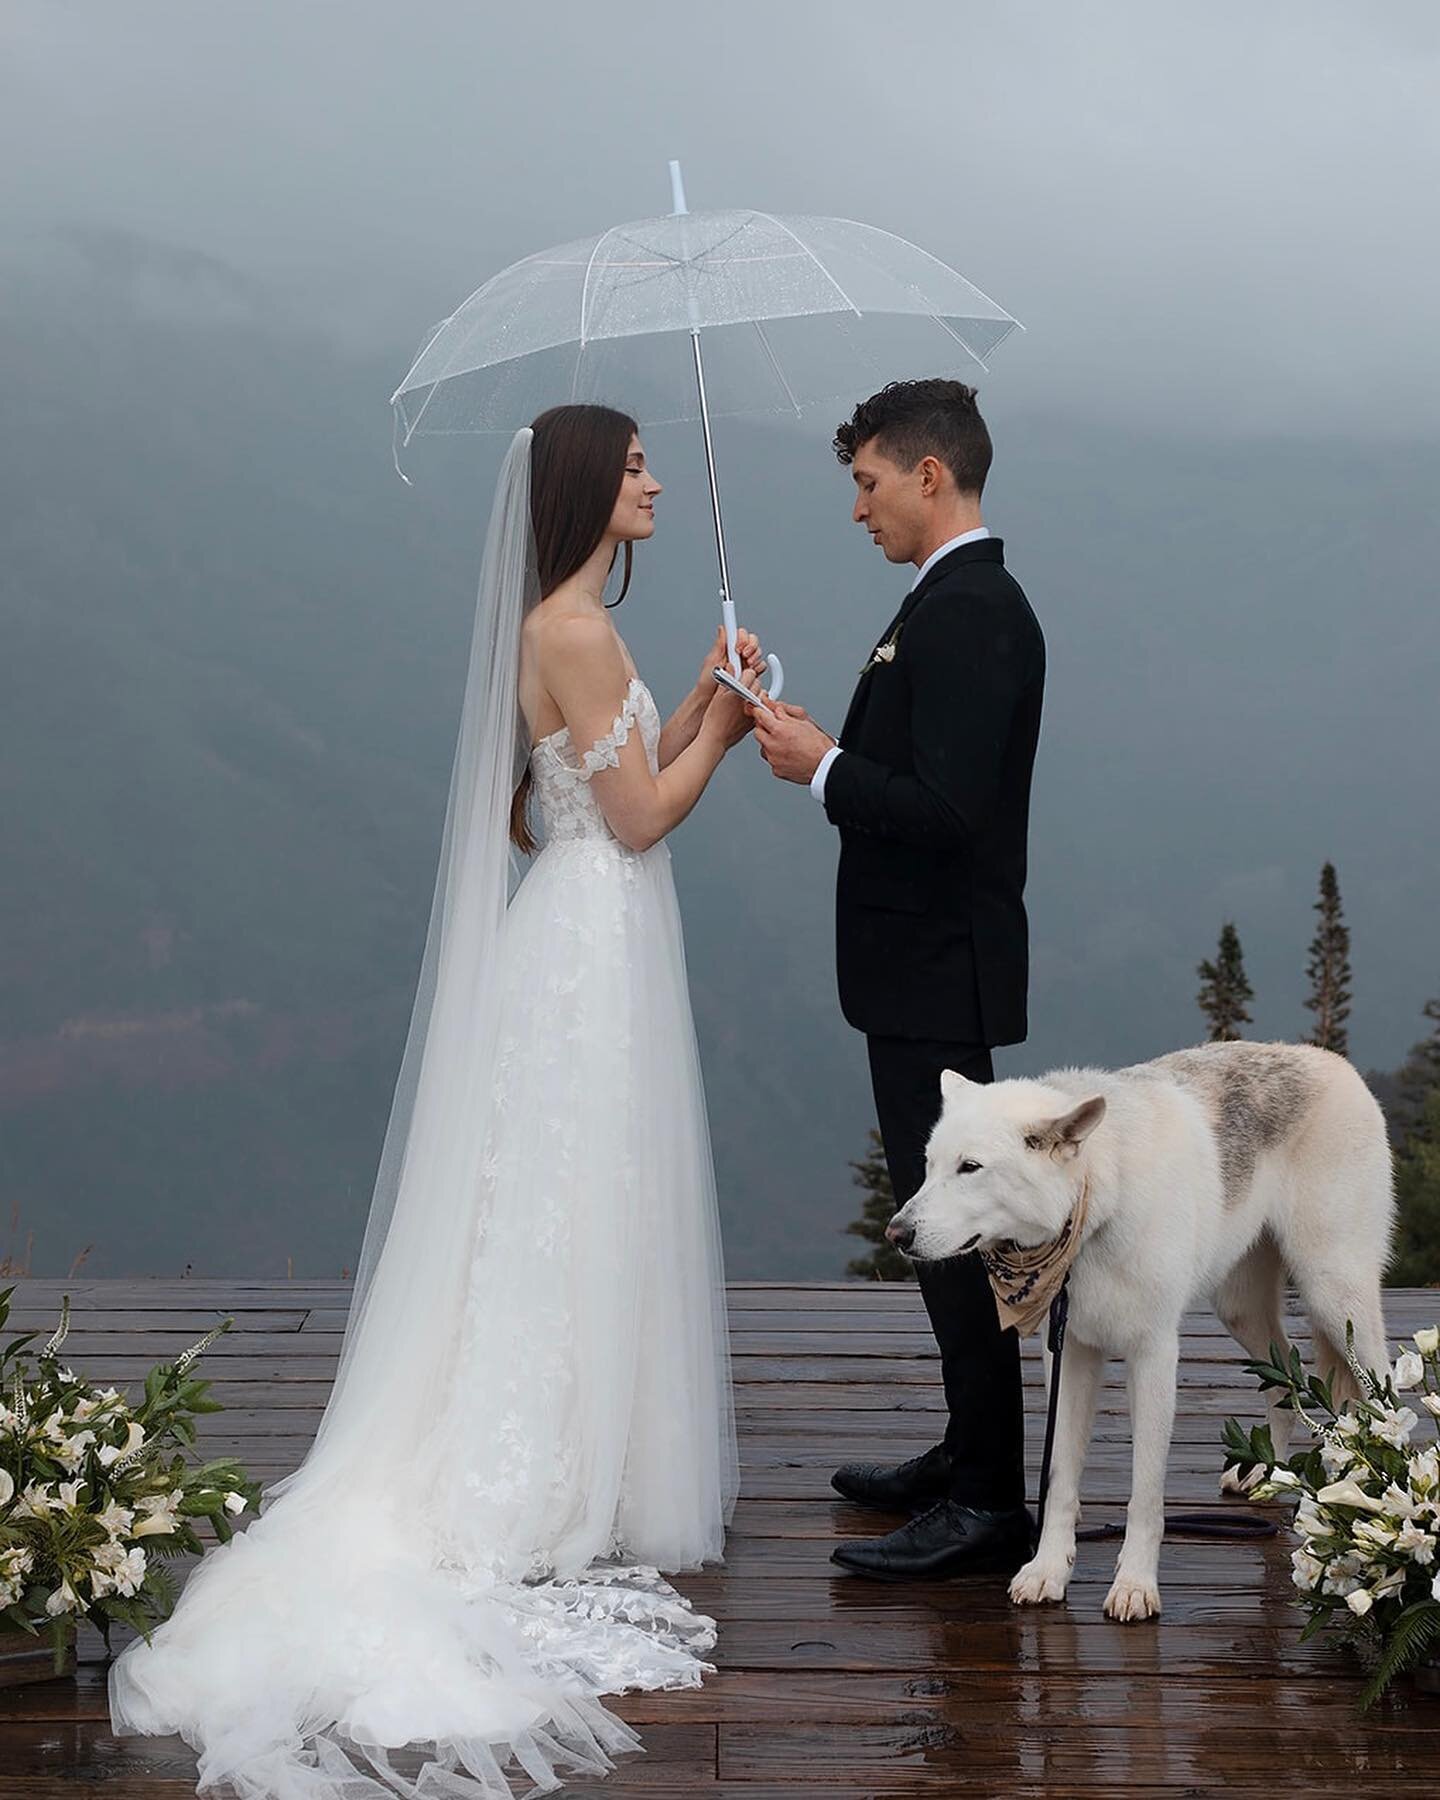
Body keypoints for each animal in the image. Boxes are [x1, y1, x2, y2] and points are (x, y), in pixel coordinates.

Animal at [889, 1044, 1396, 1620]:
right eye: (929, 1166)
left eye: (970, 1167)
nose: (896, 1233)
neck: (1093, 1212)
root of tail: (1335, 1063)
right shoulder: (1068, 1354)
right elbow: (1060, 1479)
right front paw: (1047, 1571)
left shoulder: (1153, 1354)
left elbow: (1146, 1491)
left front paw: (1134, 1584)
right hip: (1241, 1309)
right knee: (1286, 1376)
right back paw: (1263, 1475)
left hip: (1334, 1293)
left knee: (1380, 1394)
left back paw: (1379, 1494)